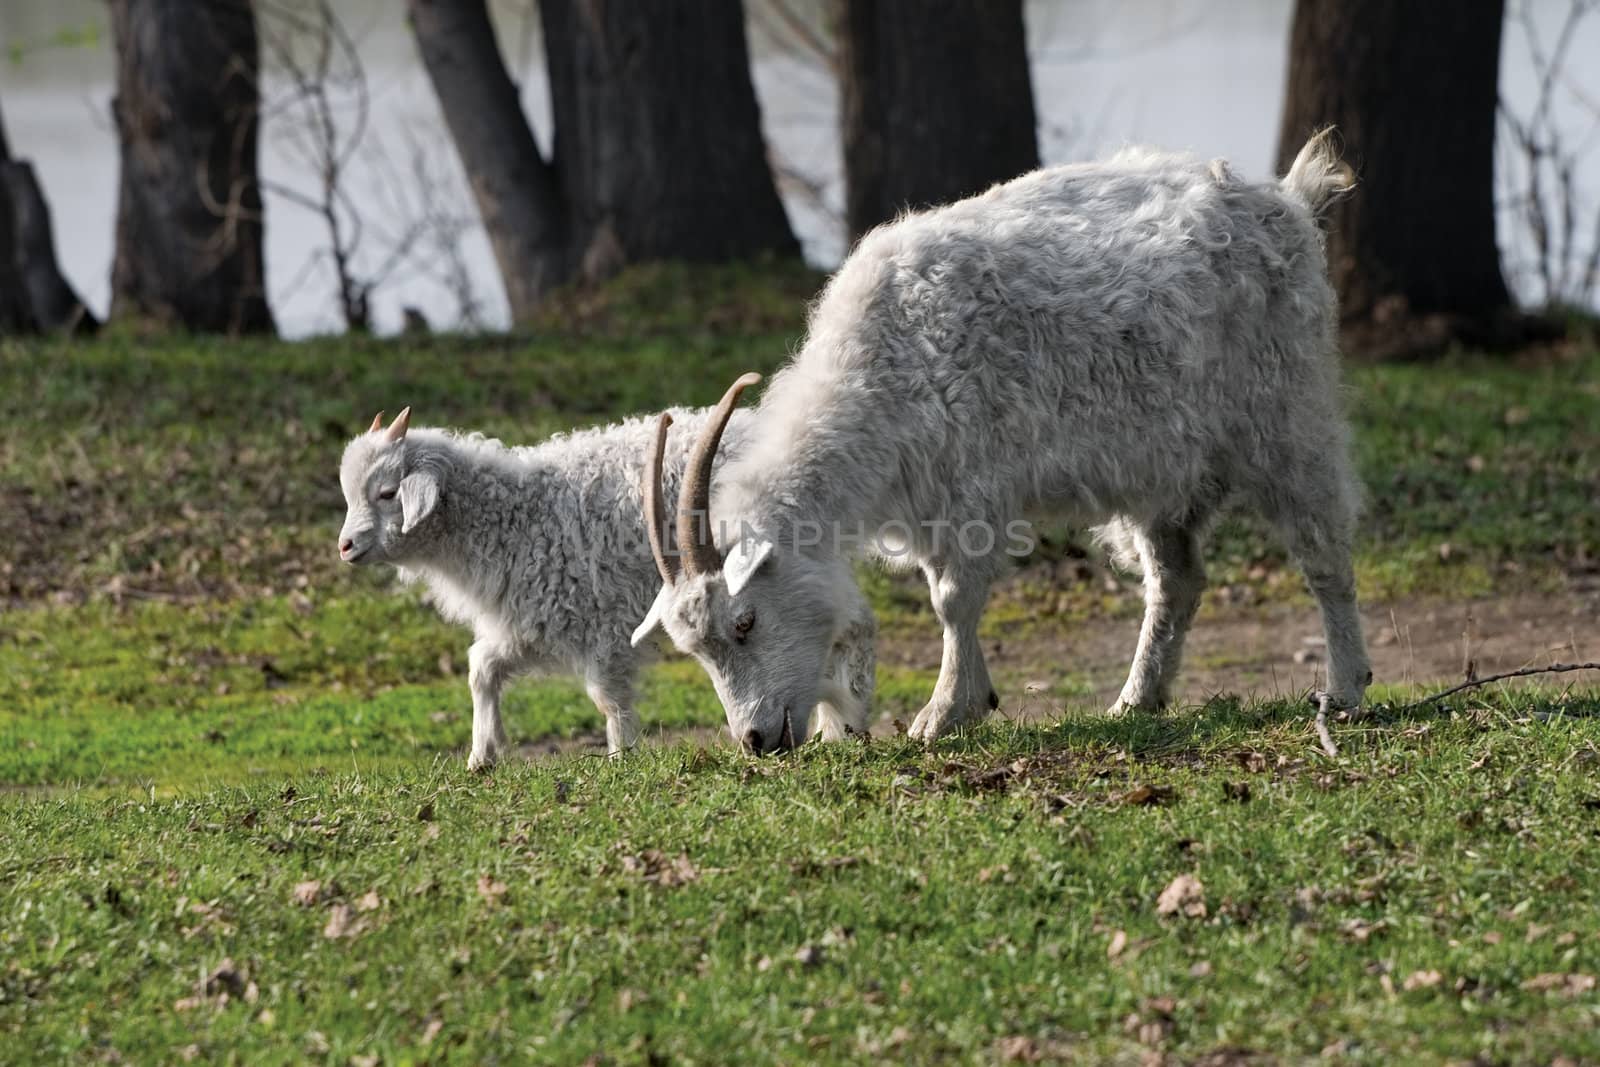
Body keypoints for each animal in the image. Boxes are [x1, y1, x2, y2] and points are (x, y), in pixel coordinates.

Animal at [336, 403, 876, 767]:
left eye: (387, 493)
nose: (345, 546)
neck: (515, 517)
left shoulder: (600, 622)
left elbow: (608, 699)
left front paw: (621, 758)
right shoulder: (531, 620)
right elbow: (481, 669)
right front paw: (482, 757)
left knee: (852, 624)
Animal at [636, 131, 1376, 751]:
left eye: (745, 622)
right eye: (696, 650)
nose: (756, 740)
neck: (878, 366)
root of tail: (1288, 200)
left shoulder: (972, 482)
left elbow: (953, 599)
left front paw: (942, 713)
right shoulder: (927, 499)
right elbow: (939, 596)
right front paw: (956, 702)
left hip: (1287, 414)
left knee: (1323, 551)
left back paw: (1344, 690)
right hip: (1160, 465)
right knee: (1177, 578)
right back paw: (1137, 699)